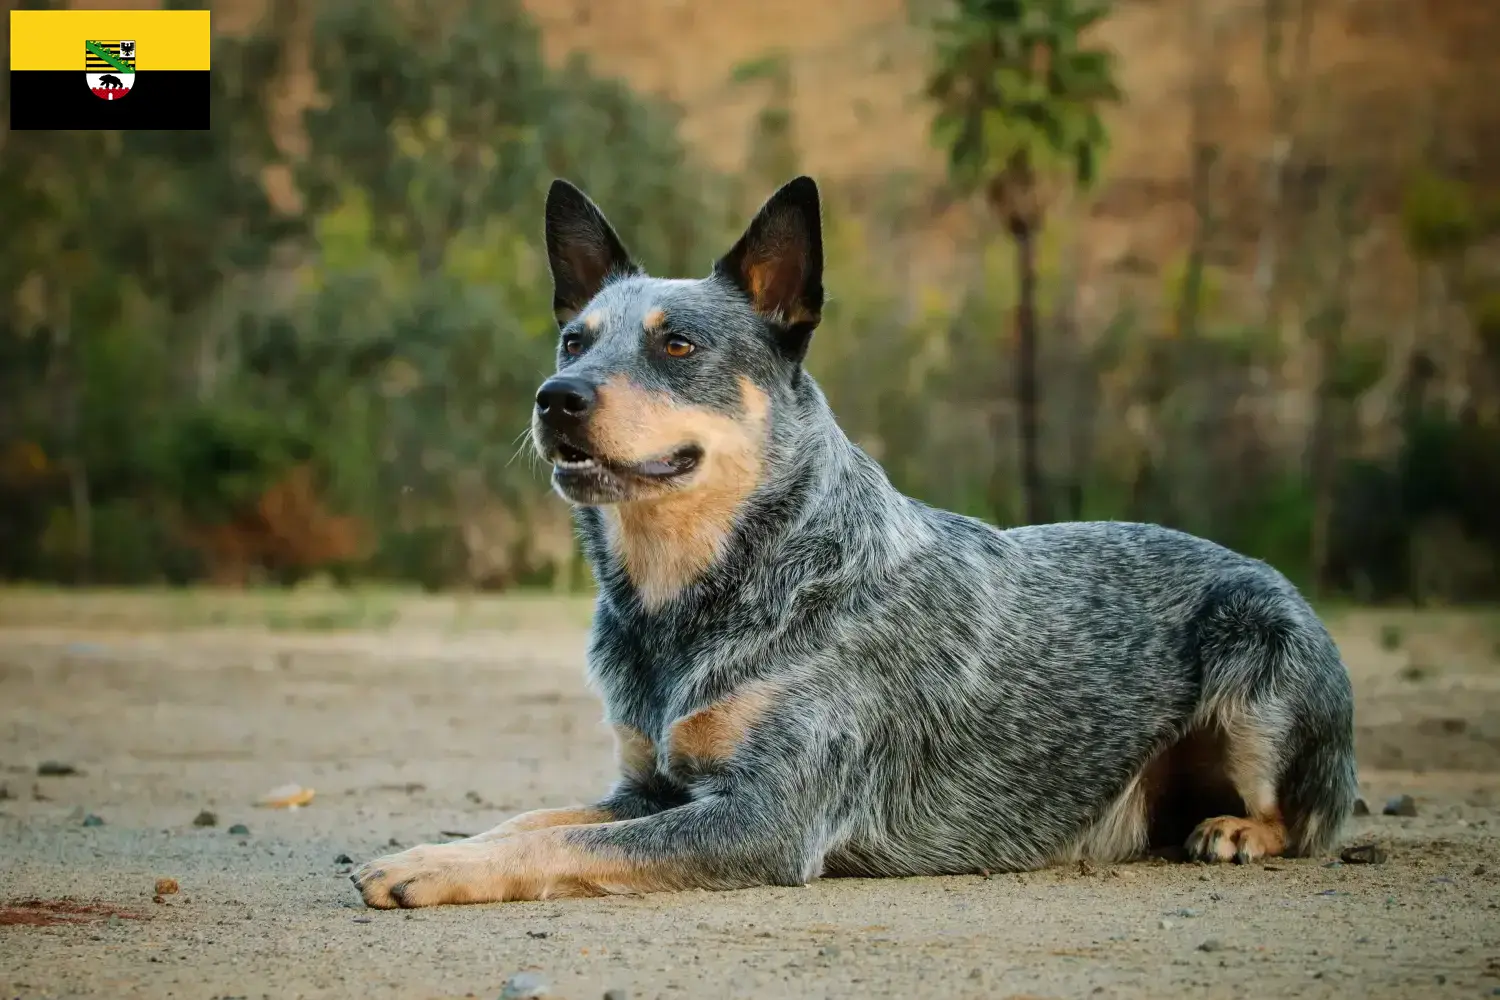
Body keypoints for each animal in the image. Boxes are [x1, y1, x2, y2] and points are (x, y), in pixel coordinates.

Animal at [351, 176, 1362, 911]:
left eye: (677, 347)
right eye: (574, 338)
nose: (555, 398)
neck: (701, 592)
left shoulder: (764, 817)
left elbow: (569, 838)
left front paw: (434, 869)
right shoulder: (651, 786)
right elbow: (530, 818)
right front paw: (438, 844)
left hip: (1259, 650)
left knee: (1311, 816)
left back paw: (1238, 830)